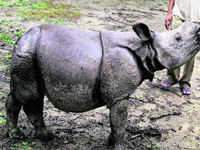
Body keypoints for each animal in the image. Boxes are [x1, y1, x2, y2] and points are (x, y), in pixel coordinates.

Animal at [5, 21, 200, 149]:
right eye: (178, 38)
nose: (198, 29)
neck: (147, 48)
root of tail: (22, 37)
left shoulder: (117, 94)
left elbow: (115, 122)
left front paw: (110, 142)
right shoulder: (120, 94)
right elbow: (120, 121)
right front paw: (119, 146)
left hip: (26, 55)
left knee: (22, 96)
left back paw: (22, 135)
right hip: (27, 56)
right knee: (30, 97)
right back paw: (39, 136)